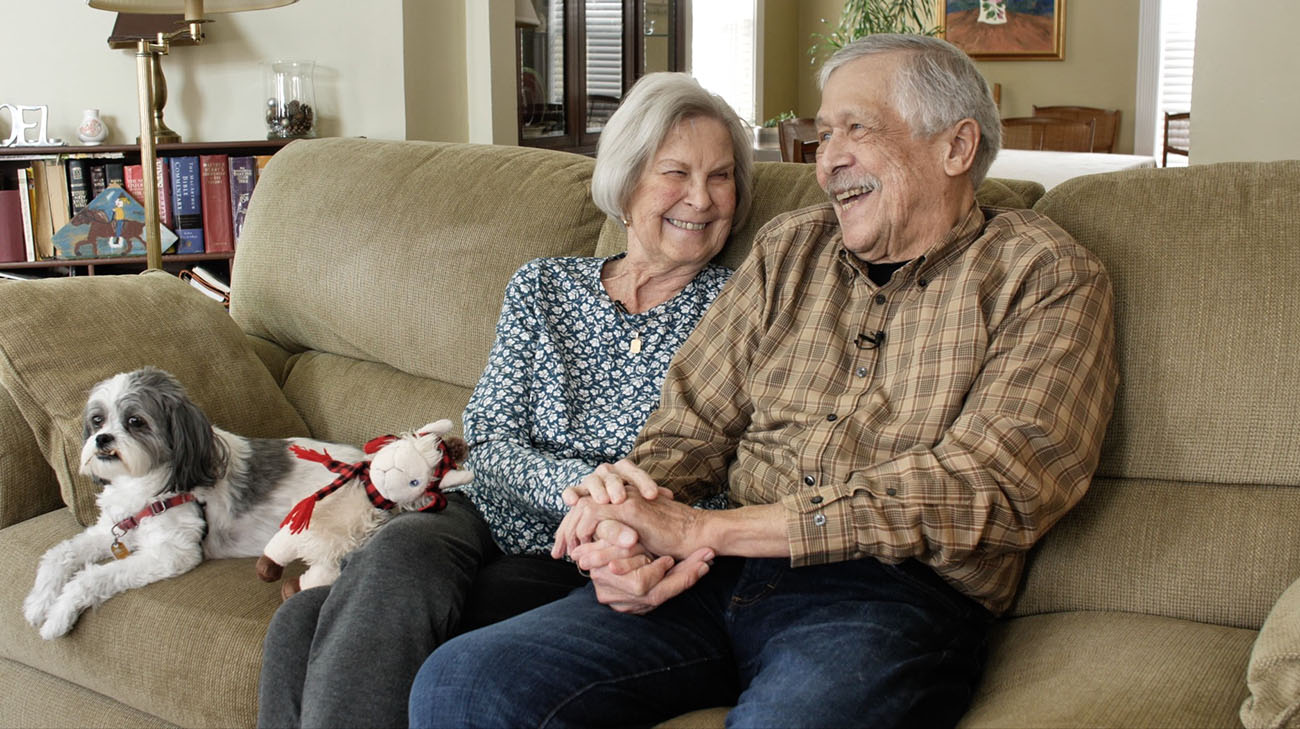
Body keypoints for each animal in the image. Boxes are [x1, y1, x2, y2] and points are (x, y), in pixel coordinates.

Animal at [22, 366, 366, 634]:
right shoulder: (113, 528)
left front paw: (58, 615)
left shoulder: (173, 553)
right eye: (97, 420)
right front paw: (39, 602)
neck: (153, 485)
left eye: (135, 421)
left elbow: (93, 576)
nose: (102, 439)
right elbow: (59, 554)